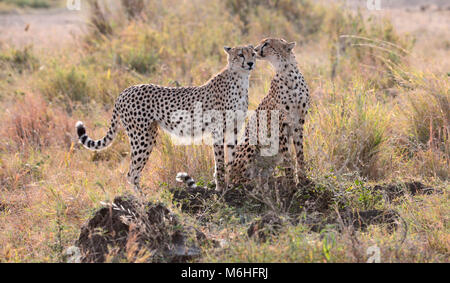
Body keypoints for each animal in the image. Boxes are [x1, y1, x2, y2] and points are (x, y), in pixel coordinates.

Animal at [75, 45, 255, 193]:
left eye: (252, 53)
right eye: (240, 54)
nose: (251, 63)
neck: (240, 79)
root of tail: (125, 91)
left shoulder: (233, 128)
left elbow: (230, 159)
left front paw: (230, 187)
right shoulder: (217, 130)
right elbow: (219, 161)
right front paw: (219, 189)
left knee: (133, 172)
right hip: (143, 137)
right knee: (131, 173)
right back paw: (143, 200)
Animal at [178, 37, 312, 189]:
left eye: (267, 43)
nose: (256, 49)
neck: (288, 74)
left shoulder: (298, 123)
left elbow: (300, 154)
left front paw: (303, 181)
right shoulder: (280, 125)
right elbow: (287, 158)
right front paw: (291, 184)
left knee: (260, 173)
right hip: (251, 140)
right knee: (240, 176)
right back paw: (250, 184)